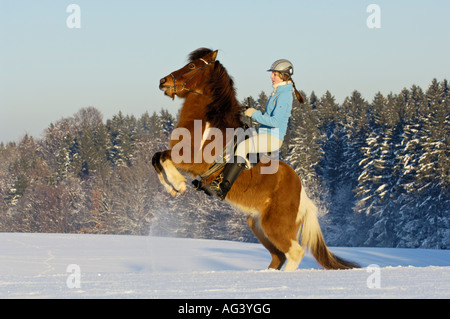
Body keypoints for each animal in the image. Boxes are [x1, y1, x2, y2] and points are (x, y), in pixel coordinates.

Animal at [153, 48, 360, 272]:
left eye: (191, 66)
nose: (163, 81)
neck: (209, 122)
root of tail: (302, 194)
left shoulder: (192, 159)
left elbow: (163, 157)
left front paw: (179, 184)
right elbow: (156, 158)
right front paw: (171, 188)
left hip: (275, 225)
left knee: (295, 252)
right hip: (258, 225)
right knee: (279, 256)